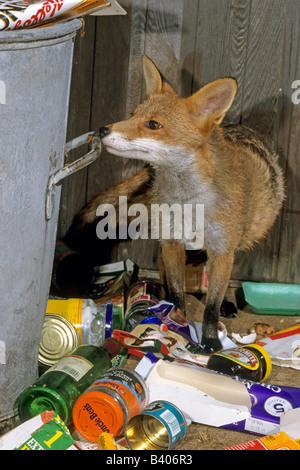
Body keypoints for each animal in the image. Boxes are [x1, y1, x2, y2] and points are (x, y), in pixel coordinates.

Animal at [67, 57, 284, 350]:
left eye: (153, 124)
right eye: (133, 114)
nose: (102, 130)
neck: (189, 203)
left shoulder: (222, 249)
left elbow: (211, 307)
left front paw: (211, 341)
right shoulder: (171, 242)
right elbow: (179, 295)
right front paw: (177, 326)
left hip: (238, 242)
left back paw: (224, 303)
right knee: (164, 275)